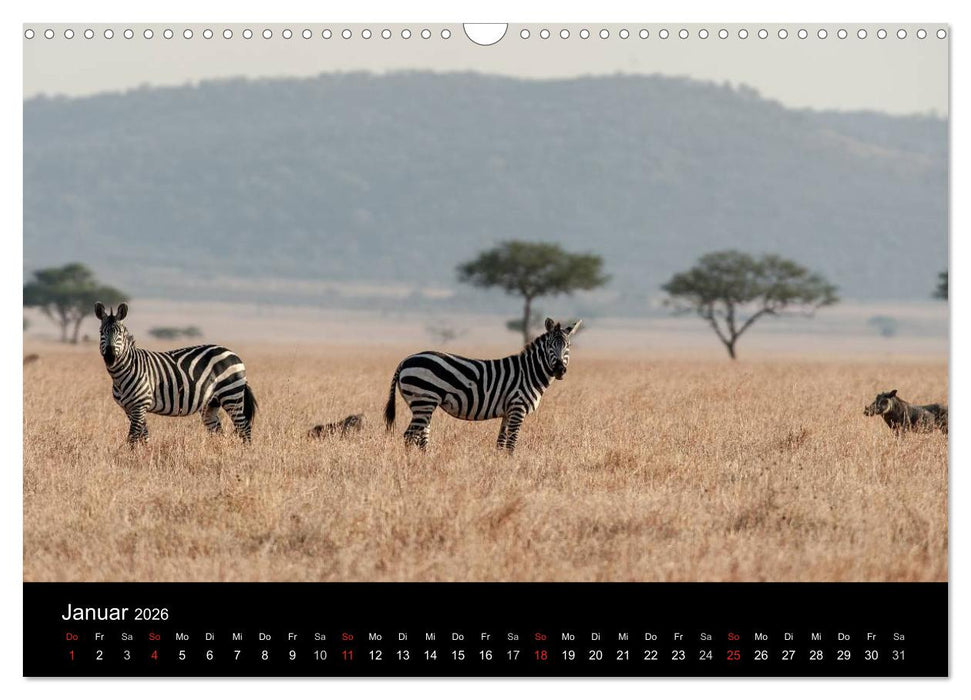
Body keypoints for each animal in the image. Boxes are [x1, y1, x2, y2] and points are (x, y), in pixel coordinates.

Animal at [95, 302, 258, 446]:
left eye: (120, 333)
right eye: (101, 332)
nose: (110, 356)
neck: (122, 374)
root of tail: (232, 353)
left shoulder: (140, 405)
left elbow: (132, 438)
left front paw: (132, 456)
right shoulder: (130, 409)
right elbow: (144, 436)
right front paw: (145, 454)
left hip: (231, 394)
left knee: (244, 427)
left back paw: (245, 453)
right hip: (212, 403)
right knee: (218, 431)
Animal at [384, 317, 581, 452]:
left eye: (568, 346)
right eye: (550, 345)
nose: (560, 370)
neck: (529, 372)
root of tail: (405, 360)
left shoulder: (508, 412)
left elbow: (501, 443)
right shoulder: (518, 407)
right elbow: (511, 444)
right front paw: (511, 467)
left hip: (423, 405)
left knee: (421, 437)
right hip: (424, 400)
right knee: (409, 436)